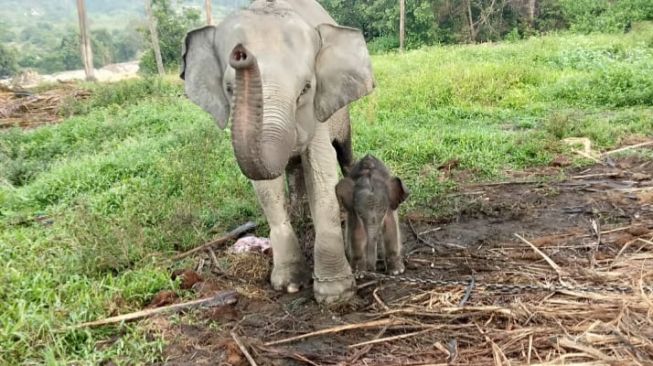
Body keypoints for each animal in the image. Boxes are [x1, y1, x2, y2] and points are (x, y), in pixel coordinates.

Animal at [180, 0, 372, 304]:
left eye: (305, 88)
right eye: (229, 89)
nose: (241, 53)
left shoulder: (318, 111)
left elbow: (321, 172)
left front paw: (336, 294)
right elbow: (266, 188)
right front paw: (290, 285)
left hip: (342, 116)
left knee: (344, 154)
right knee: (293, 169)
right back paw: (300, 214)